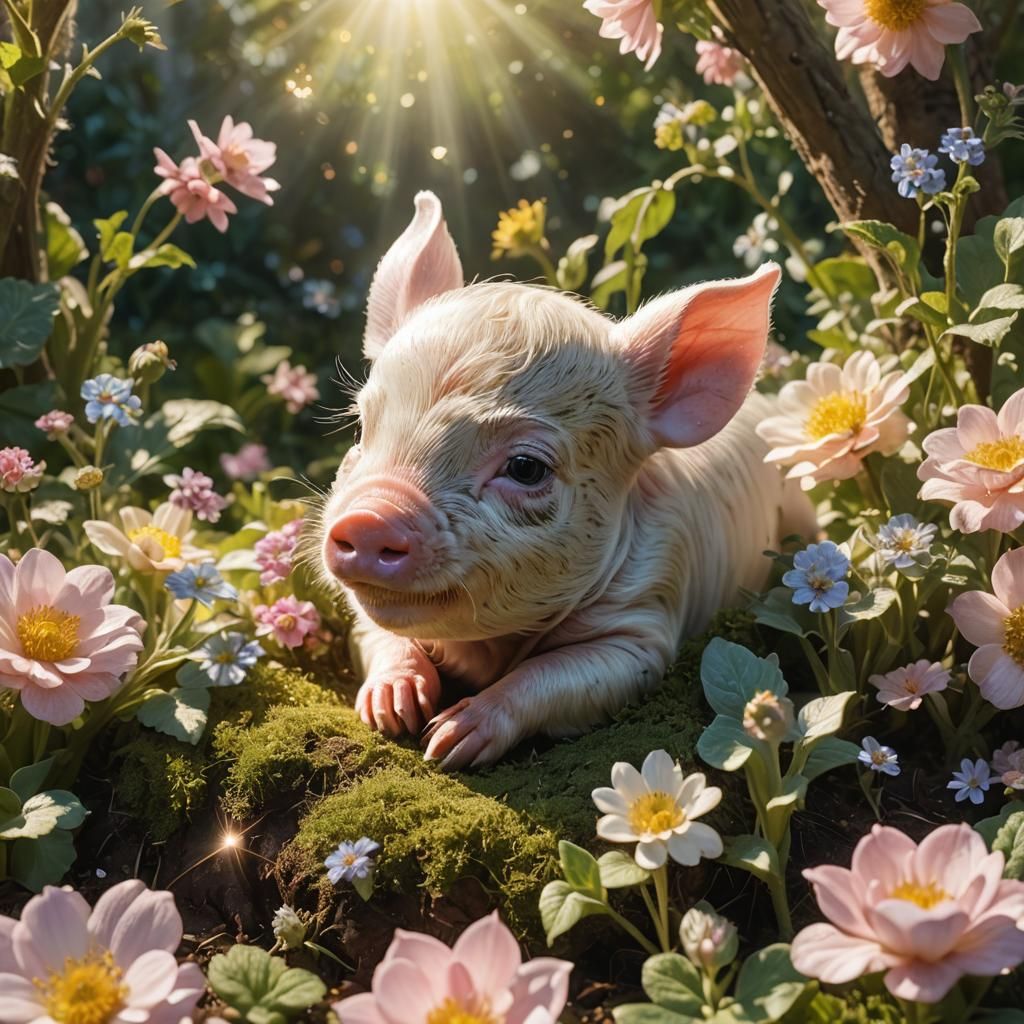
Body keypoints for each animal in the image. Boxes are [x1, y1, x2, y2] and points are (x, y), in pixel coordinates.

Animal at [319, 191, 814, 770]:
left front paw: (447, 741)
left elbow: (557, 674)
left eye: (525, 467)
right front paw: (392, 712)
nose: (370, 516)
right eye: (361, 426)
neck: (487, 650)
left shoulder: (646, 624)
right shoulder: (361, 619)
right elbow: (378, 634)